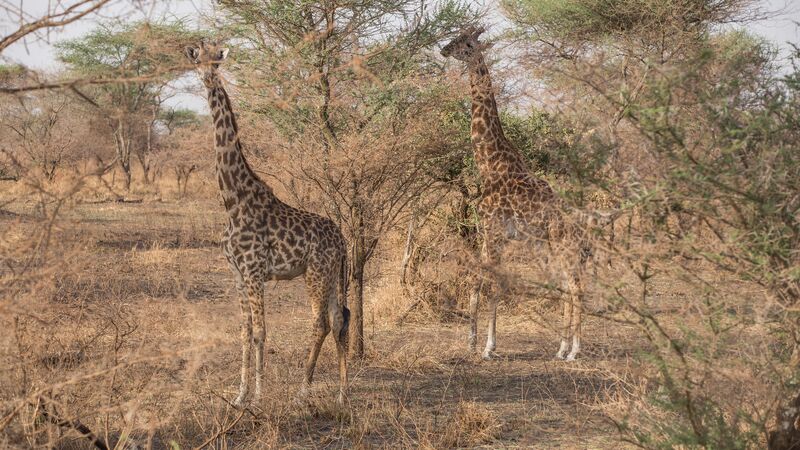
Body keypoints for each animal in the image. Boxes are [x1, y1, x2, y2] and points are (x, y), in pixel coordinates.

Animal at [188, 42, 350, 406]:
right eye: (197, 62)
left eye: (216, 63)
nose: (207, 79)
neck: (233, 201)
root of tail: (344, 241)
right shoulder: (237, 274)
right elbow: (245, 332)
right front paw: (239, 396)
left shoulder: (253, 272)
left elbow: (262, 332)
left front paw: (259, 398)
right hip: (330, 275)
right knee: (339, 319)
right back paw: (341, 395)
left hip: (316, 273)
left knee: (320, 322)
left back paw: (303, 390)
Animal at [440, 26, 596, 362]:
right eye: (456, 37)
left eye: (466, 43)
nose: (444, 49)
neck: (489, 162)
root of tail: (584, 223)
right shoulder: (487, 232)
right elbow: (476, 281)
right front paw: (471, 342)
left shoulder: (495, 231)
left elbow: (494, 285)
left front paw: (489, 347)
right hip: (553, 246)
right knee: (567, 286)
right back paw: (562, 348)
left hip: (563, 245)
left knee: (575, 286)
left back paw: (574, 350)